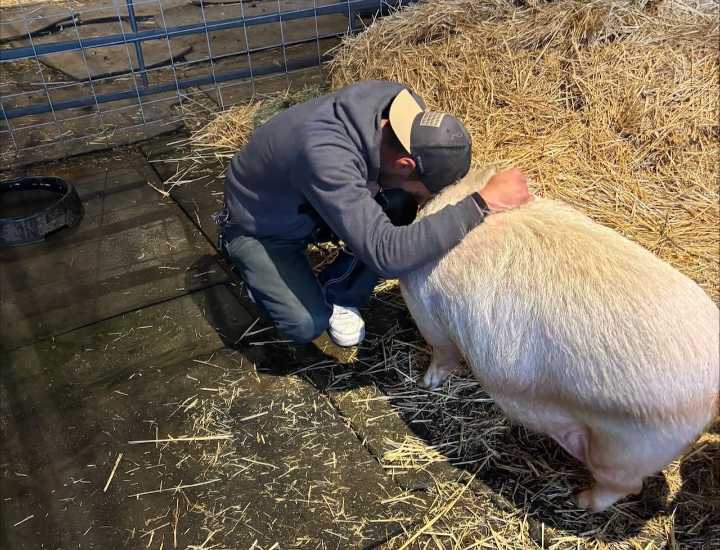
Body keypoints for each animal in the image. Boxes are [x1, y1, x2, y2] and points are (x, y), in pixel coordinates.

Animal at [399, 166, 720, 512]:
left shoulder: (430, 318)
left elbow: (442, 354)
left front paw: (426, 383)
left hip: (627, 450)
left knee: (624, 486)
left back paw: (579, 499)